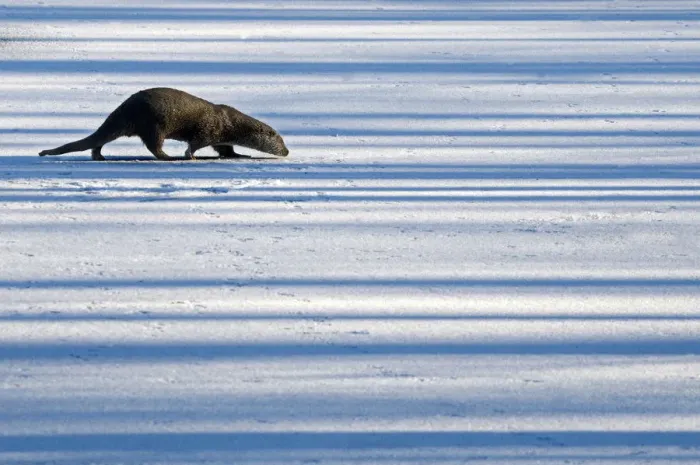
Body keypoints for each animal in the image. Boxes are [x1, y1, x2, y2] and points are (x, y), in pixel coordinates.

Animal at [39, 87, 289, 161]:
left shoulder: (221, 138)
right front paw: (190, 156)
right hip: (153, 124)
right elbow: (195, 144)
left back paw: (99, 157)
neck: (230, 123)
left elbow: (226, 149)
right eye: (280, 141)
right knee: (154, 146)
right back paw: (170, 157)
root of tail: (122, 109)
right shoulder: (208, 130)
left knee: (98, 142)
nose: (287, 151)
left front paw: (240, 154)